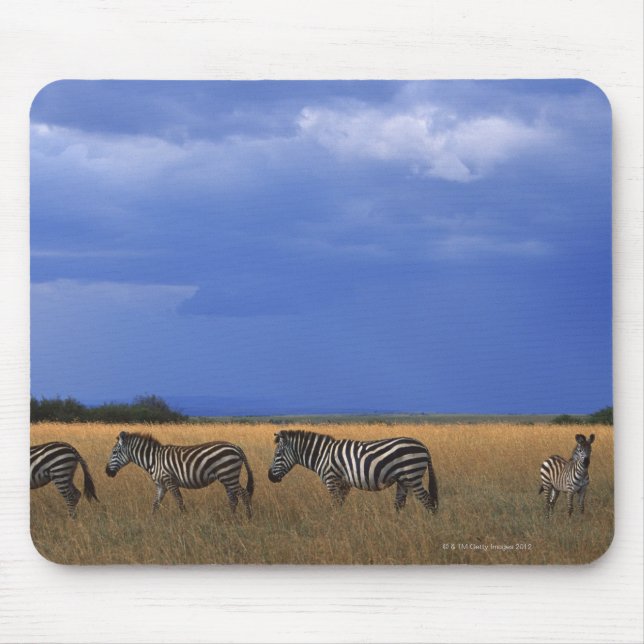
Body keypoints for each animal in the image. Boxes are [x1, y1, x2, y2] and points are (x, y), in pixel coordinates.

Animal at [105, 431, 254, 517]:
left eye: (114, 452)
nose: (107, 472)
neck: (153, 460)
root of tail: (236, 447)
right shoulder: (161, 485)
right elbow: (155, 504)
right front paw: (151, 521)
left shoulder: (169, 480)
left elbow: (179, 501)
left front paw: (184, 519)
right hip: (227, 477)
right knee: (233, 499)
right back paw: (231, 519)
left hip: (228, 475)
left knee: (244, 495)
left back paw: (248, 518)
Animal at [268, 429, 438, 513]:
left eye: (277, 455)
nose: (269, 477)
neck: (323, 454)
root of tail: (424, 446)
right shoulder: (344, 484)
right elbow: (340, 505)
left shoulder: (332, 480)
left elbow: (335, 506)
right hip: (403, 479)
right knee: (399, 504)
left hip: (412, 475)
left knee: (428, 502)